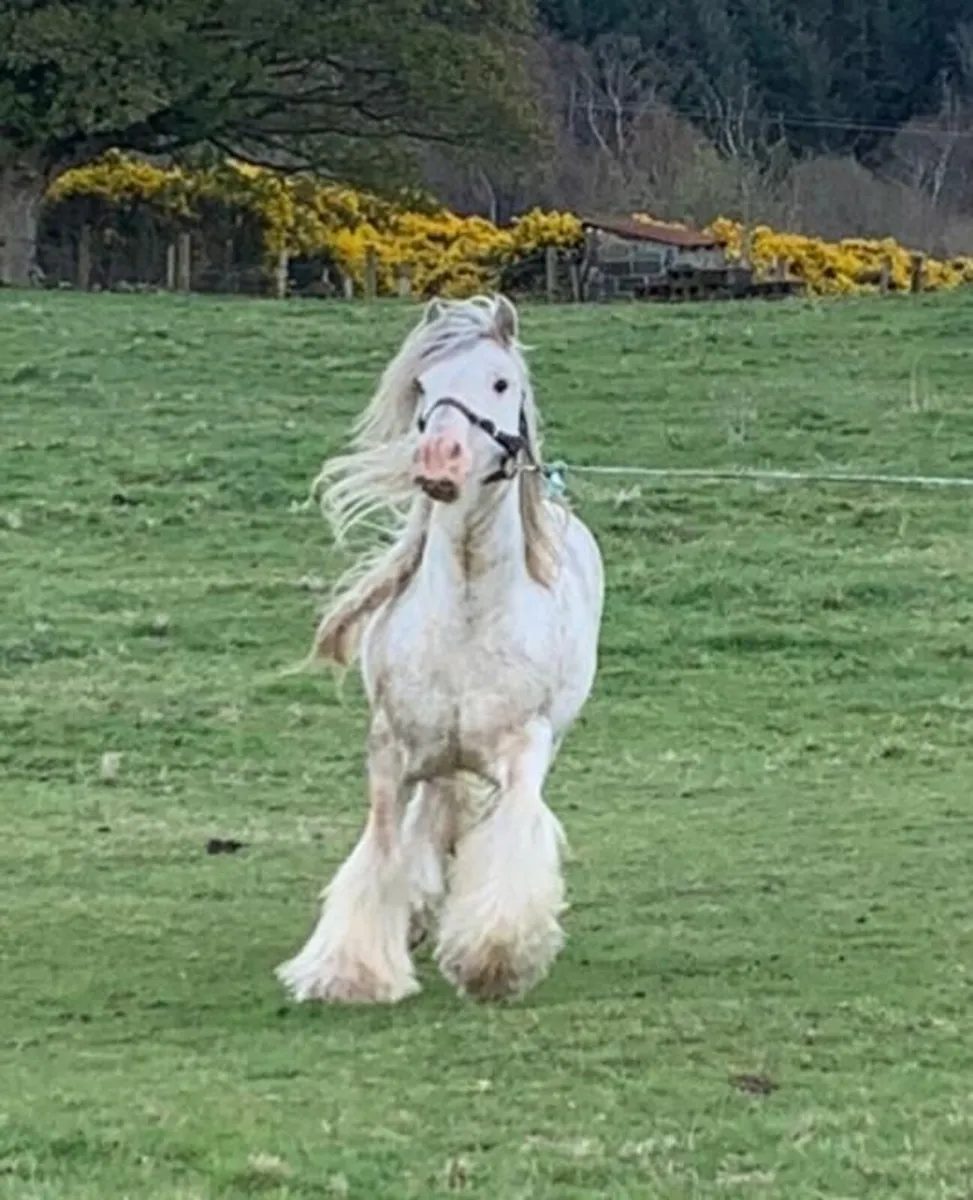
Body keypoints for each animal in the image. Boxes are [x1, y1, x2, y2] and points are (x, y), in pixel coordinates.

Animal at [276, 294, 604, 1004]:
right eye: (424, 386)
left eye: (501, 383)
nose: (439, 459)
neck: (470, 613)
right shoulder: (390, 749)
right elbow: (380, 850)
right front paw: (353, 970)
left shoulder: (525, 749)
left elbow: (511, 840)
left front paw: (492, 959)